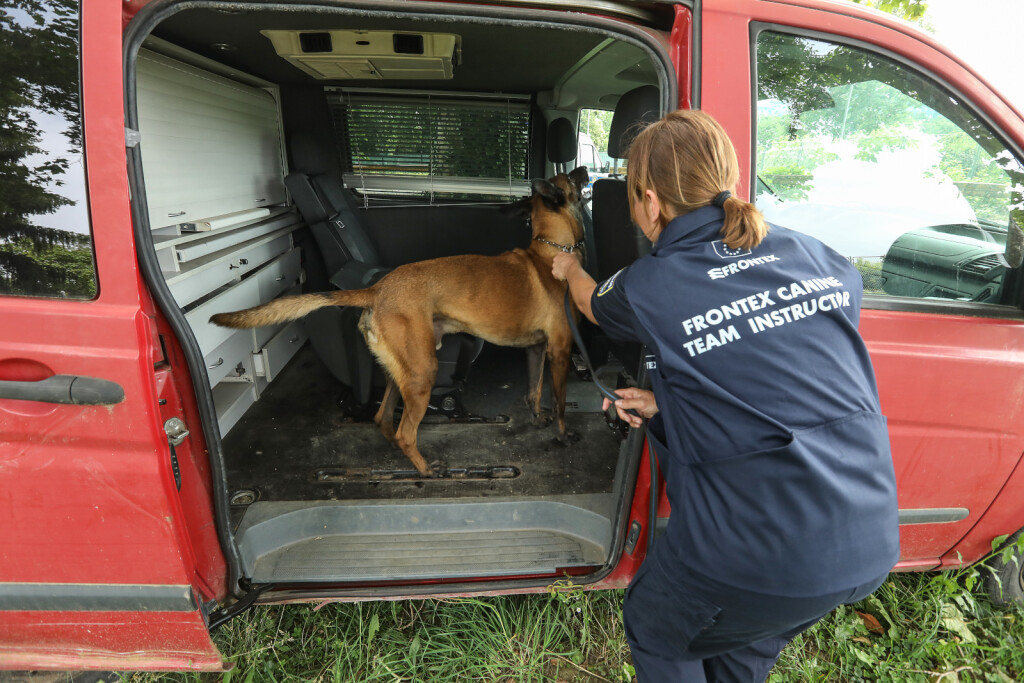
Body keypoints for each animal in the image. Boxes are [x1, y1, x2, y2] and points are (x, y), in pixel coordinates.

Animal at [211, 166, 589, 475]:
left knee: (383, 418)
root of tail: (377, 288)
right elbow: (559, 401)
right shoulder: (560, 351)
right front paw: (562, 434)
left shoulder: (537, 350)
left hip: (402, 369)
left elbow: (533, 391)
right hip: (423, 372)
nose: (585, 169)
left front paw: (537, 419)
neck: (551, 250)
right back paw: (426, 469)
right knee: (406, 432)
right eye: (570, 180)